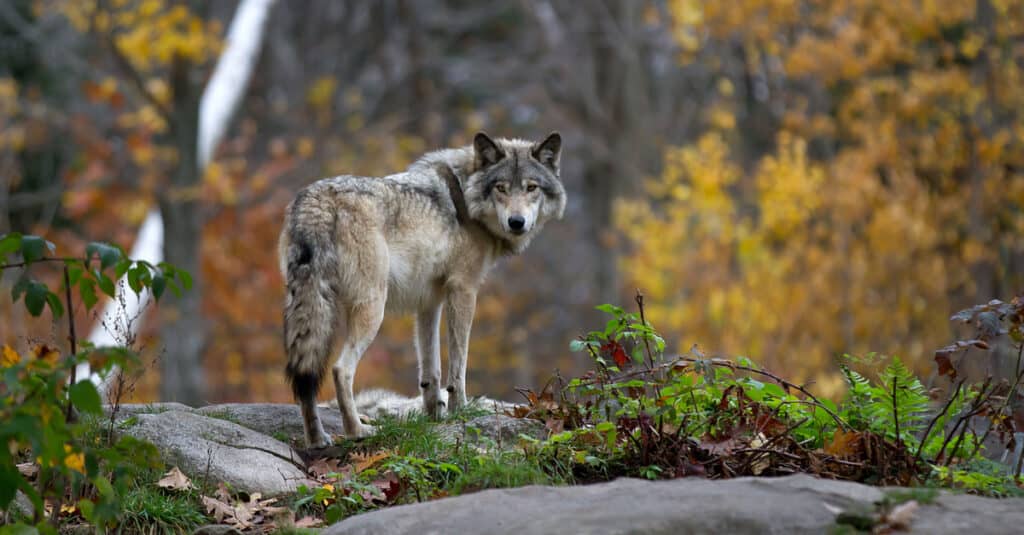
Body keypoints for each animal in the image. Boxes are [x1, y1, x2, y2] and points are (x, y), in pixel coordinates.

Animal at [282, 130, 569, 444]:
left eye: (531, 188)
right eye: (501, 188)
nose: (517, 222)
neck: (465, 198)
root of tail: (316, 201)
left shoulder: (428, 303)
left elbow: (431, 370)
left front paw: (435, 416)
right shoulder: (464, 290)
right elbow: (458, 365)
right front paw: (460, 411)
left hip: (311, 310)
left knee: (305, 377)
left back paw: (317, 439)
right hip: (372, 309)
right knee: (340, 369)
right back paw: (357, 430)